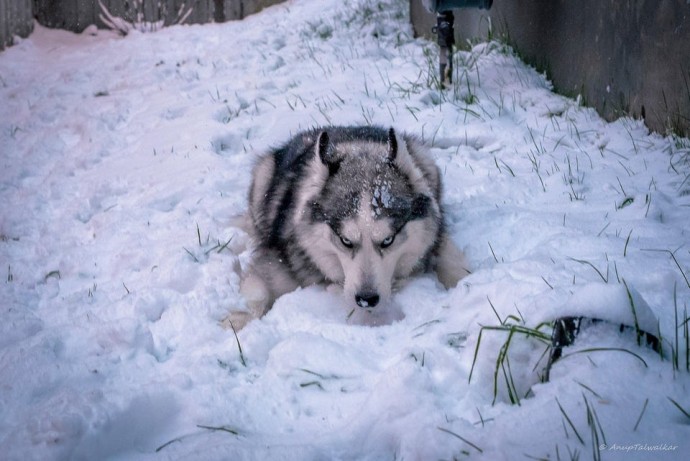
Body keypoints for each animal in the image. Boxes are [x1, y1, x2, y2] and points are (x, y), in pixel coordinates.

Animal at [231, 125, 468, 328]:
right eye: (345, 241)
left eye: (388, 240)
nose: (366, 299)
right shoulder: (275, 263)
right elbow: (257, 293)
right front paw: (236, 322)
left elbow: (453, 261)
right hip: (263, 175)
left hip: (425, 160)